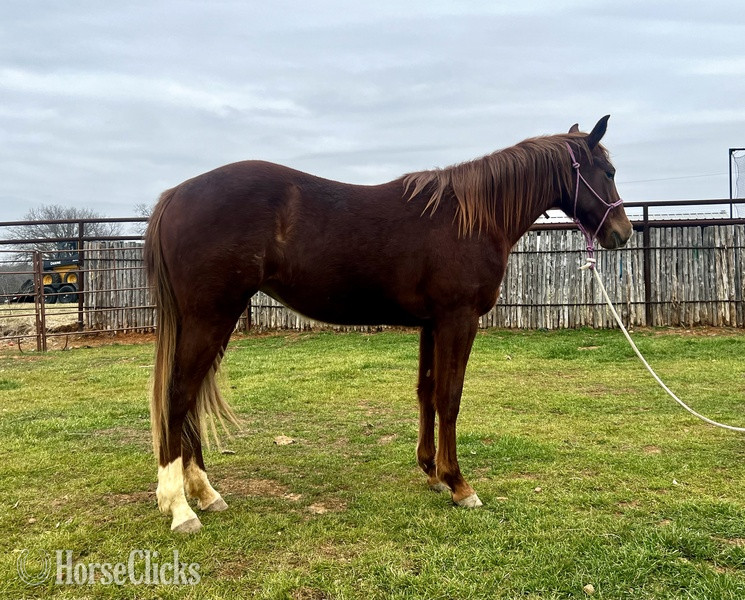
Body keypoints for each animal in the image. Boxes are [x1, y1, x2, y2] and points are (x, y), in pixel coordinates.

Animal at [144, 116, 632, 533]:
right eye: (607, 170)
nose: (622, 233)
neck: (471, 217)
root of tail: (175, 195)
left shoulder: (431, 324)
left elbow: (427, 393)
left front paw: (433, 473)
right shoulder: (458, 320)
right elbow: (450, 398)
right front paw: (460, 485)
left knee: (190, 399)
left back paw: (205, 492)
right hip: (212, 317)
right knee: (178, 396)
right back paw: (180, 507)